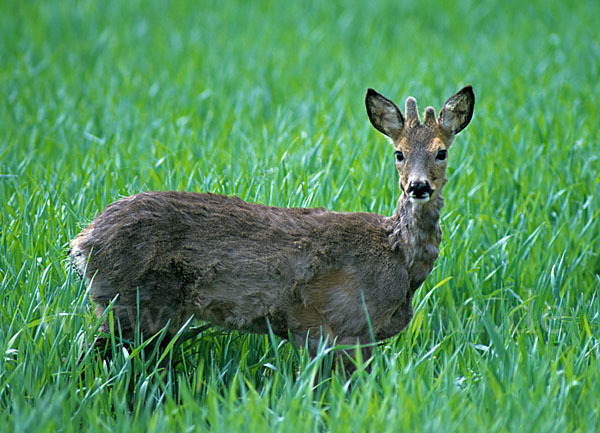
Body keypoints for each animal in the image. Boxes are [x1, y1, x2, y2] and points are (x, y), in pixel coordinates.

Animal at [69, 85, 474, 368]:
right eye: (398, 153)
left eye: (441, 152)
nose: (418, 187)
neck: (398, 256)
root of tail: (82, 242)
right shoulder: (342, 325)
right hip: (131, 305)